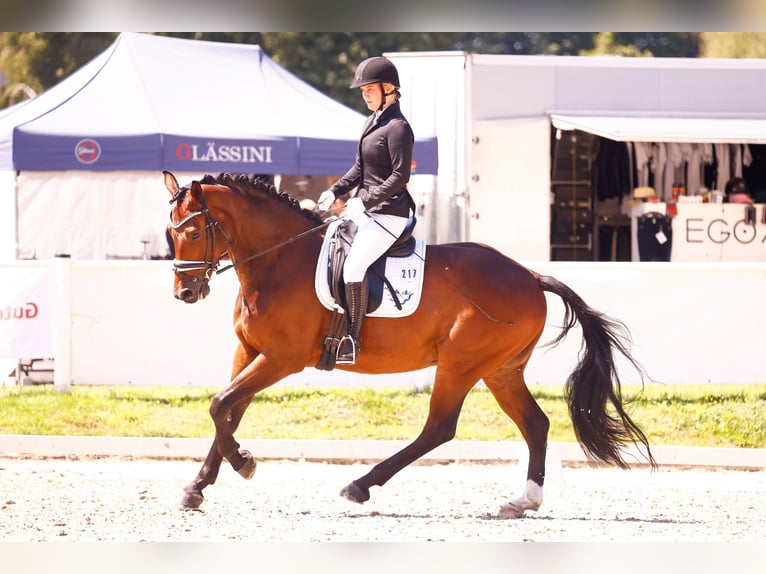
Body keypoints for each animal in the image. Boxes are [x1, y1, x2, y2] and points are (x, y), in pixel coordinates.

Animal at [163, 171, 656, 518]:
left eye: (194, 233)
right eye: (171, 233)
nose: (185, 293)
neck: (279, 260)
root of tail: (531, 276)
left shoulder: (281, 359)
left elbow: (219, 404)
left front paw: (244, 463)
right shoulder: (249, 351)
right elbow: (227, 410)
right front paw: (197, 487)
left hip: (461, 364)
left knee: (439, 428)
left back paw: (359, 486)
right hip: (501, 370)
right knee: (535, 423)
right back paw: (524, 501)